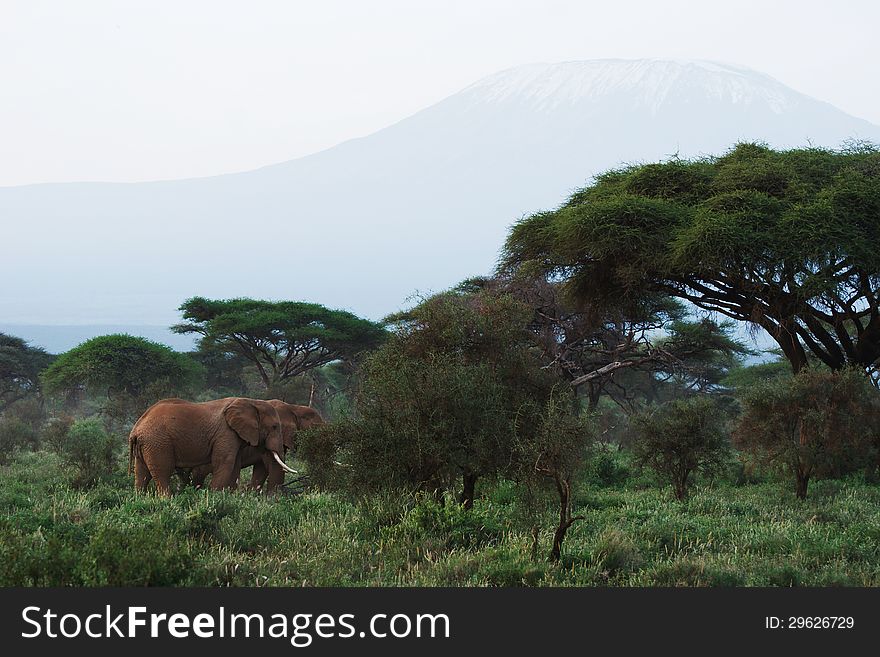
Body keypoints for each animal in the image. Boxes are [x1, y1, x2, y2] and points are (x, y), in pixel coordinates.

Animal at [129, 394, 296, 492]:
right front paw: (214, 496)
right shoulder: (226, 433)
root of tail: (136, 429)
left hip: (147, 444)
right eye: (274, 427)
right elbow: (225, 462)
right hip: (158, 443)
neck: (251, 402)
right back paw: (167, 500)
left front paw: (228, 496)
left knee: (141, 473)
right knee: (162, 471)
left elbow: (234, 464)